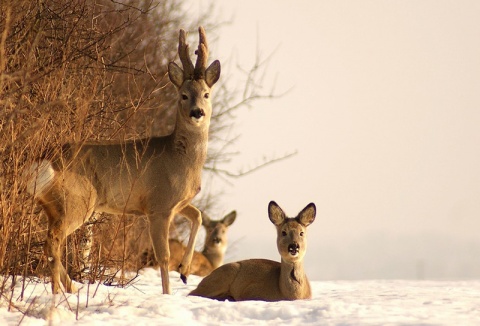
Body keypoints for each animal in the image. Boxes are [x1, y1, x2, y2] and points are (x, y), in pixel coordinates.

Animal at [23, 26, 221, 294]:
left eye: (206, 94)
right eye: (183, 95)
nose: (197, 112)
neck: (180, 159)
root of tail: (44, 161)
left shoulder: (176, 202)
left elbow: (198, 216)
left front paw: (185, 271)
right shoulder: (159, 204)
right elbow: (164, 257)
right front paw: (168, 293)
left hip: (53, 206)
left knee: (49, 243)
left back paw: (72, 289)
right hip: (77, 200)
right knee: (53, 242)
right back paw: (60, 293)